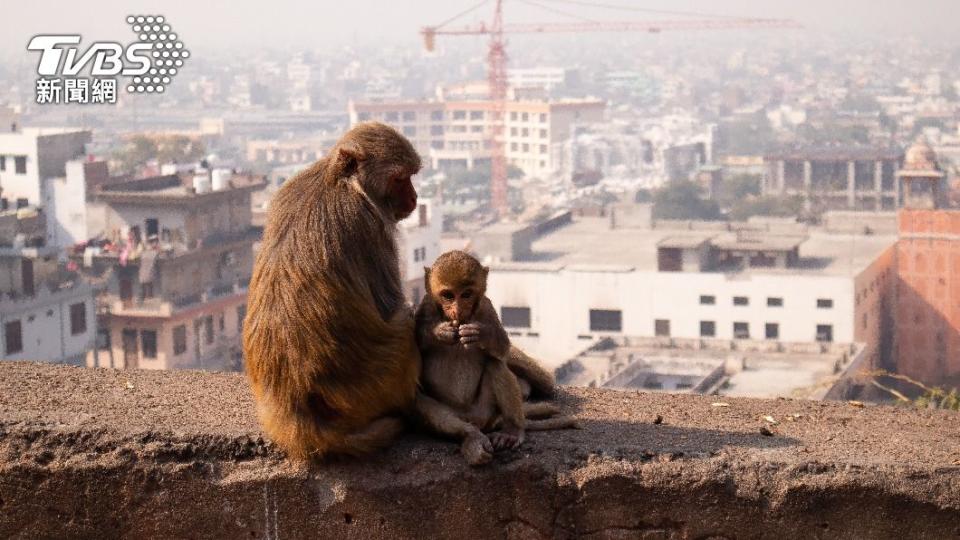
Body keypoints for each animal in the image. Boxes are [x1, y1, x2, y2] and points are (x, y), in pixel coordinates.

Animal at [246, 122, 556, 460]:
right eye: (399, 178)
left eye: (411, 176)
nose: (414, 196)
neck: (338, 180)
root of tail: (303, 419)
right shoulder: (372, 224)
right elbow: (394, 306)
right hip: (387, 380)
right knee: (404, 321)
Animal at [414, 249, 576, 464]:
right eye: (448, 295)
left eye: (466, 294)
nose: (457, 310)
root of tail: (476, 420)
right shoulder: (425, 306)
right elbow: (415, 341)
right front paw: (440, 332)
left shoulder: (486, 307)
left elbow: (502, 348)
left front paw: (480, 334)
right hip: (458, 416)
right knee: (420, 399)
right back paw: (470, 436)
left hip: (486, 410)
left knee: (496, 365)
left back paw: (512, 431)